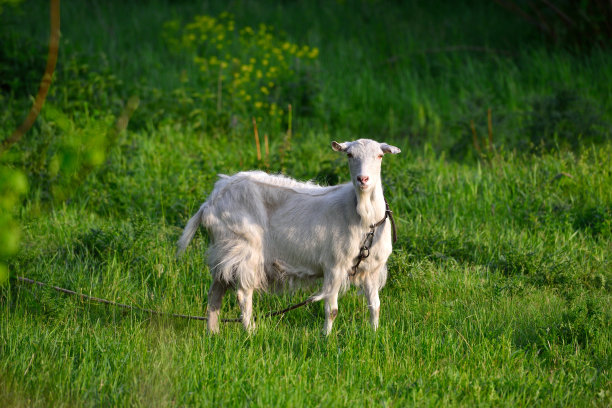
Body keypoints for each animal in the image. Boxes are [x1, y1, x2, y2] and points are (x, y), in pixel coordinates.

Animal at [177, 139, 402, 334]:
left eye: (380, 155)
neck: (364, 218)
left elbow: (375, 306)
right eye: (349, 155)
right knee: (242, 294)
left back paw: (212, 333)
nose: (363, 179)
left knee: (215, 293)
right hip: (243, 248)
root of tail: (210, 202)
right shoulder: (335, 265)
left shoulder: (372, 270)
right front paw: (326, 338)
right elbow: (332, 310)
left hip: (225, 250)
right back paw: (251, 332)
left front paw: (374, 334)